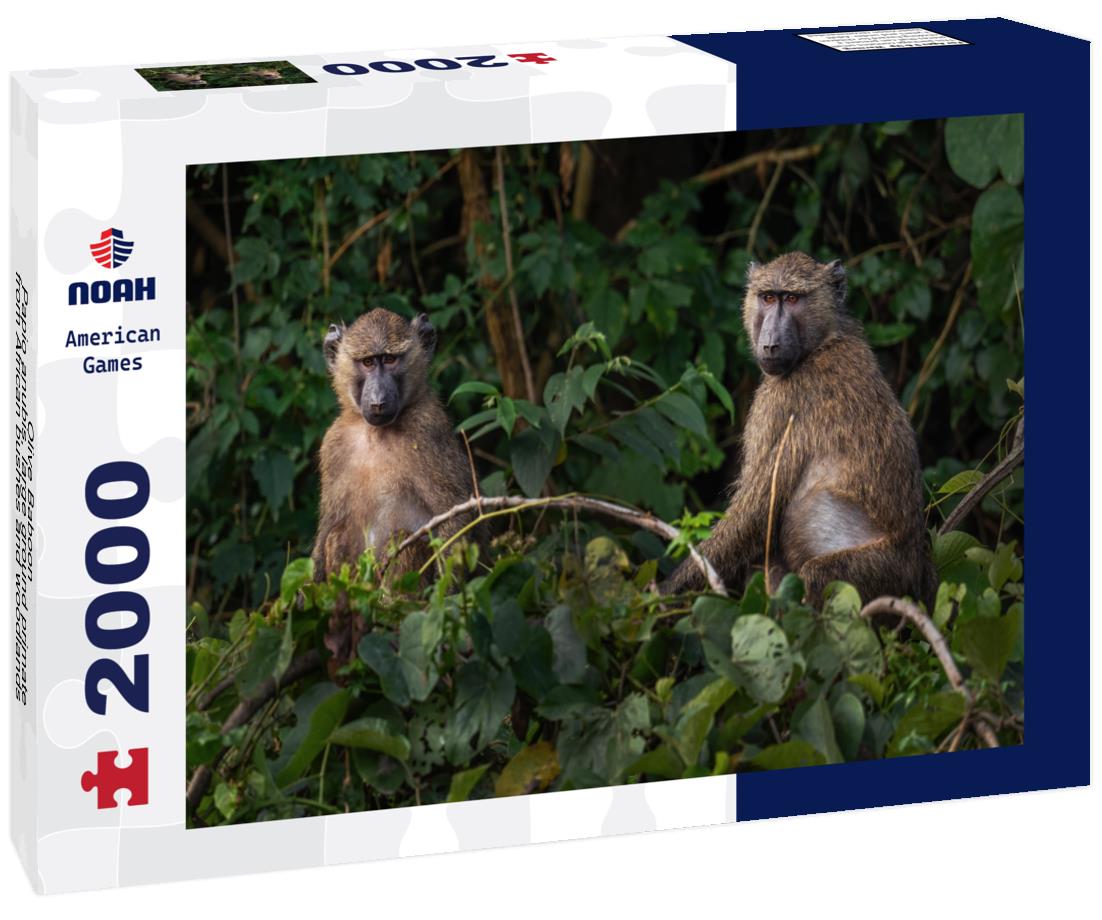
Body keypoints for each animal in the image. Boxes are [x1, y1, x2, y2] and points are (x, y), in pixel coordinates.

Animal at [311, 308, 475, 585]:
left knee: (403, 539)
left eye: (389, 360)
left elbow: (457, 517)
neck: (376, 433)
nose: (378, 400)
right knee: (336, 535)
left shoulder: (427, 429)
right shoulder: (333, 443)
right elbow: (327, 526)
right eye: (367, 362)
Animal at [663, 252, 936, 609]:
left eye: (792, 299)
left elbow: (755, 514)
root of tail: (916, 567)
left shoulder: (779, 400)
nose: (770, 344)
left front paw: (662, 593)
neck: (823, 343)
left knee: (814, 577)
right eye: (768, 297)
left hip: (877, 572)